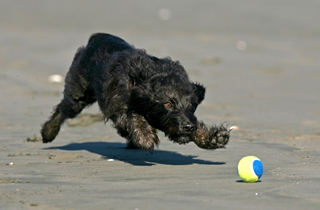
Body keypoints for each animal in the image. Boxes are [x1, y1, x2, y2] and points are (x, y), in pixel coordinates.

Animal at [41, 32, 230, 151]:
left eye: (191, 104)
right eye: (168, 104)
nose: (187, 127)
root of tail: (96, 37)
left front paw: (212, 138)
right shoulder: (118, 105)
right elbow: (133, 116)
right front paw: (145, 135)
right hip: (78, 93)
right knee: (62, 109)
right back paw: (48, 132)